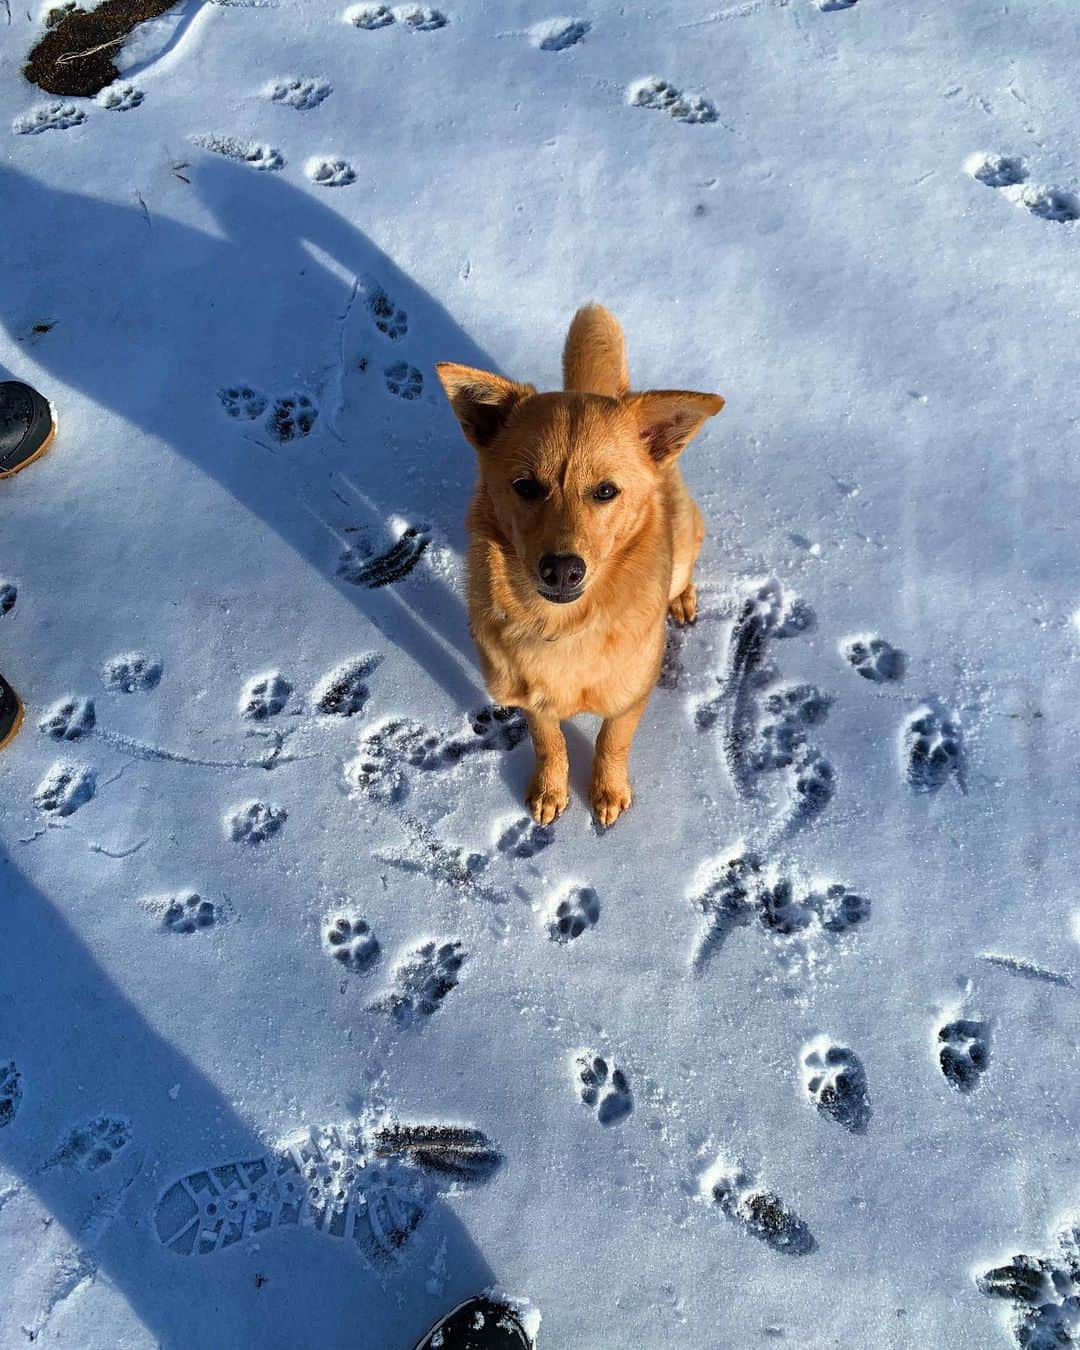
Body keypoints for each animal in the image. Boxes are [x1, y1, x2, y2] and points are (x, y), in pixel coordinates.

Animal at [434, 307, 723, 826]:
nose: (563, 569)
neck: (565, 626)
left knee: (683, 571)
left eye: (606, 491)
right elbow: (549, 741)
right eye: (526, 486)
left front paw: (607, 791)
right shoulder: (529, 696)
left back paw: (683, 598)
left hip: (686, 537)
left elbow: (612, 742)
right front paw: (551, 789)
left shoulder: (631, 698)